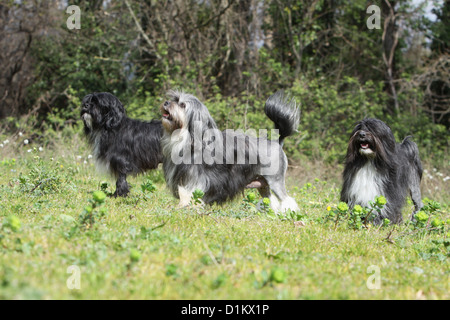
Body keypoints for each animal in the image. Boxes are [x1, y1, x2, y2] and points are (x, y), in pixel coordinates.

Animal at [160, 89, 300, 212]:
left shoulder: (196, 179)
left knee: (286, 200)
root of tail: (277, 142)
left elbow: (189, 195)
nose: (166, 102)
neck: (187, 139)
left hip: (275, 180)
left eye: (182, 105)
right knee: (271, 200)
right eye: (174, 99)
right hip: (263, 184)